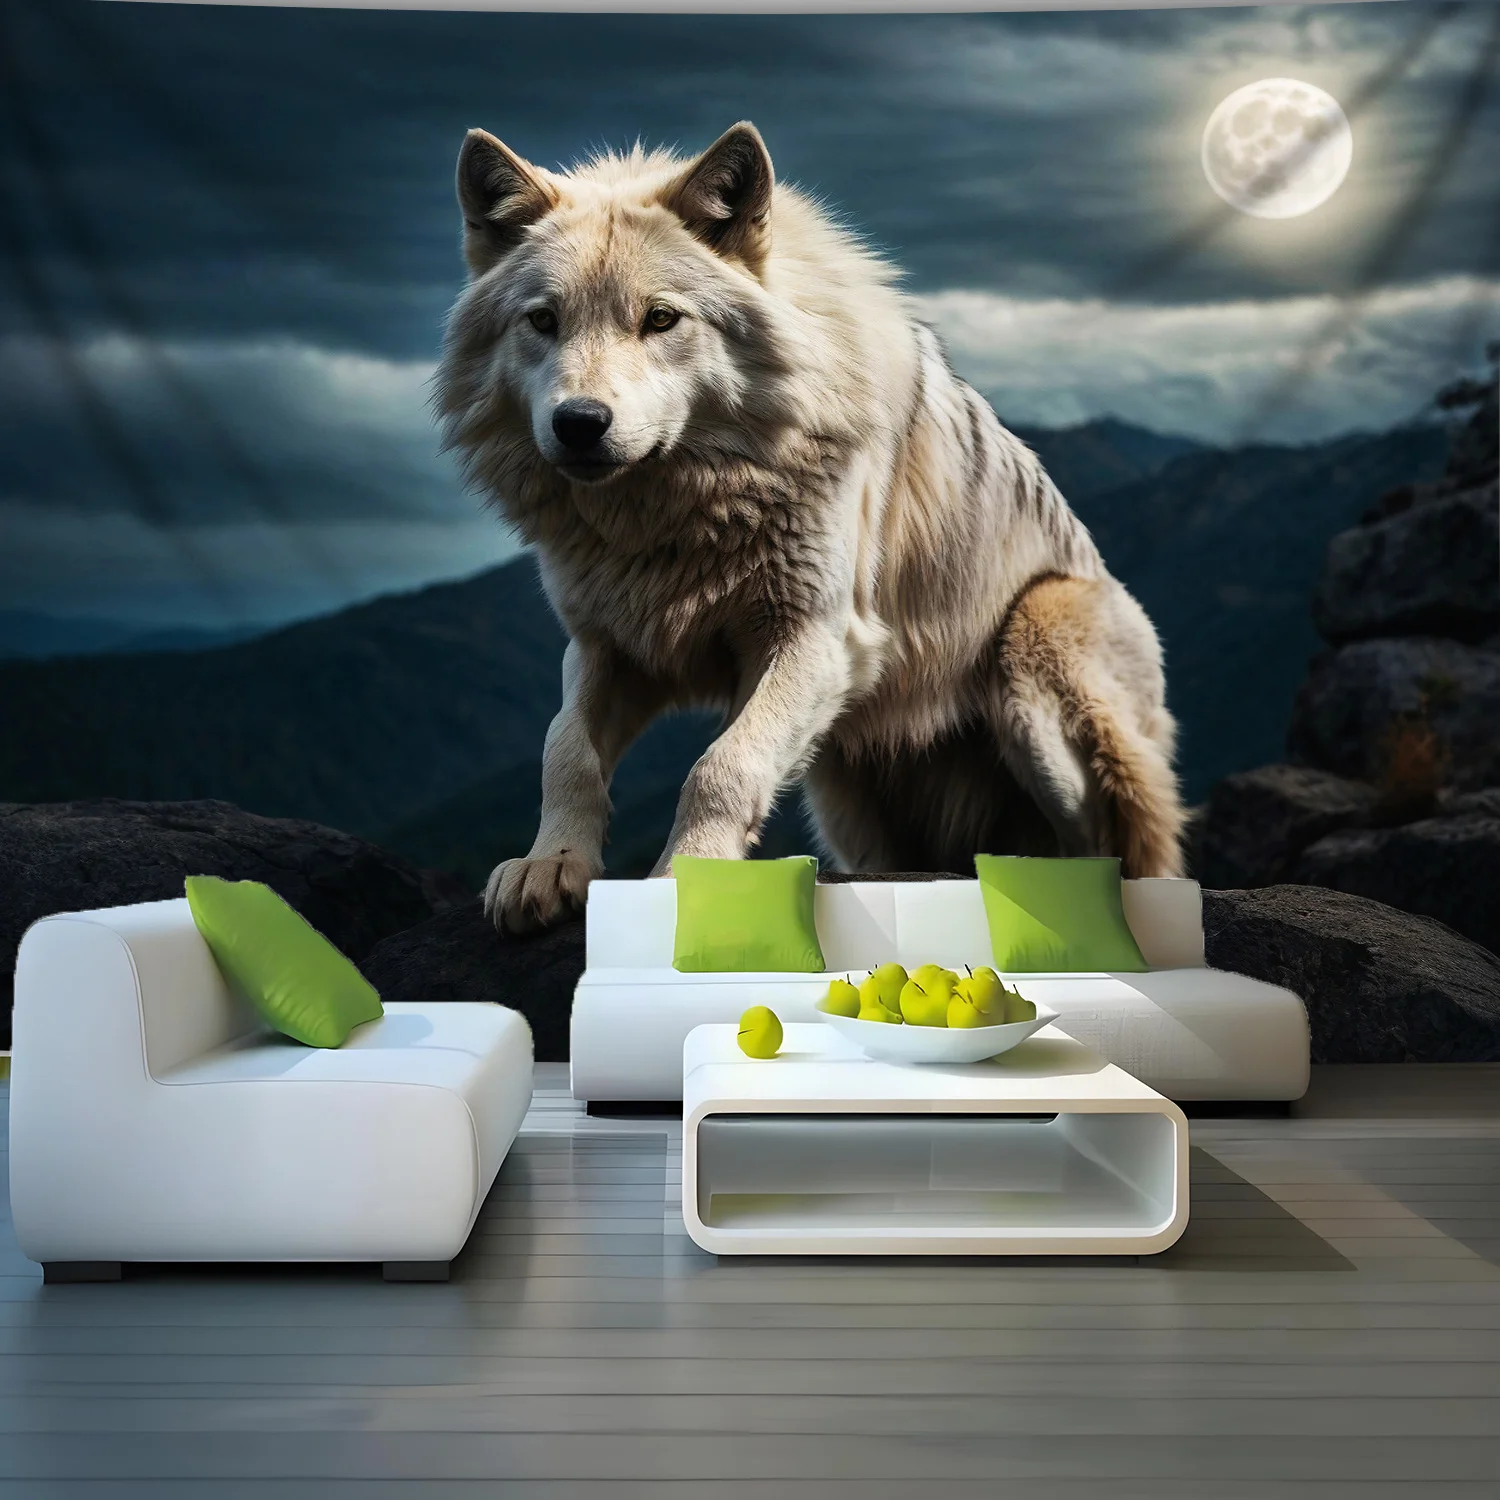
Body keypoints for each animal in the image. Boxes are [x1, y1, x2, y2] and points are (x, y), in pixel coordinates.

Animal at [436, 122, 1186, 934]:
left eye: (661, 318)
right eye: (543, 320)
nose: (579, 423)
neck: (677, 515)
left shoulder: (817, 638)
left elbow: (721, 769)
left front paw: (686, 888)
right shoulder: (608, 645)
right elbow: (564, 750)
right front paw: (549, 866)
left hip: (1031, 647)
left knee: (1097, 841)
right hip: (847, 795)